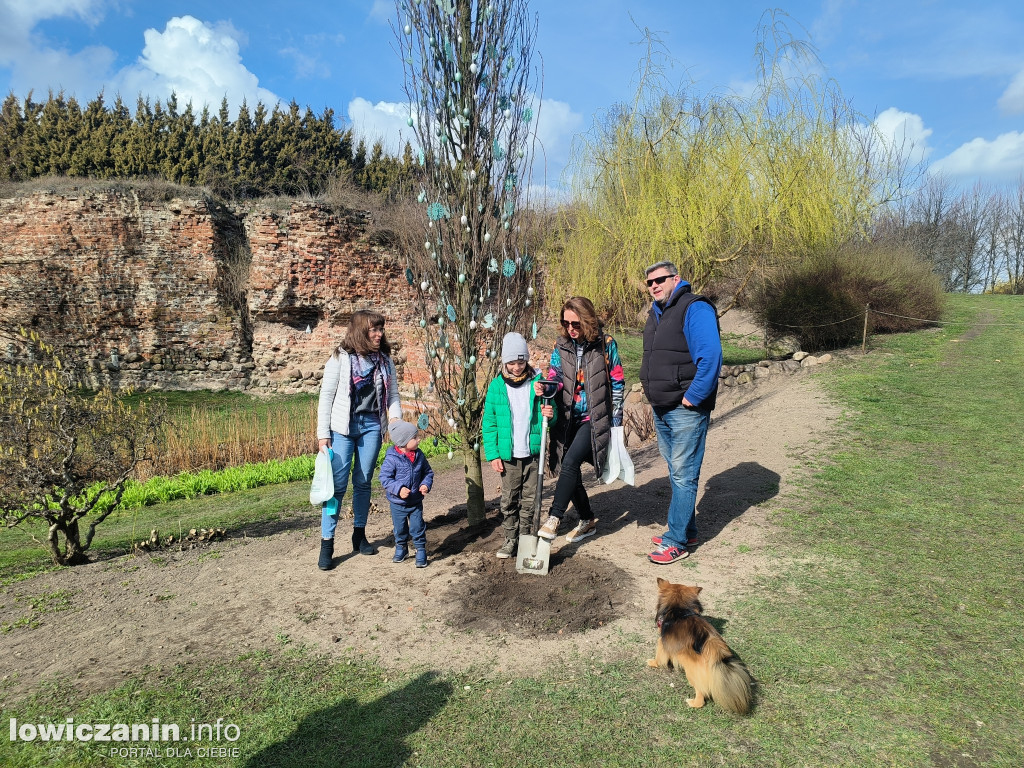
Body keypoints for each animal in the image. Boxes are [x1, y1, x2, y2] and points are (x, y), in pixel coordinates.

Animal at [647, 581, 753, 720]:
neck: (679, 610)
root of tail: (715, 652)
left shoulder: (662, 642)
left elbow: (659, 657)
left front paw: (653, 663)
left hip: (692, 674)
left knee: (701, 695)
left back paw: (692, 703)